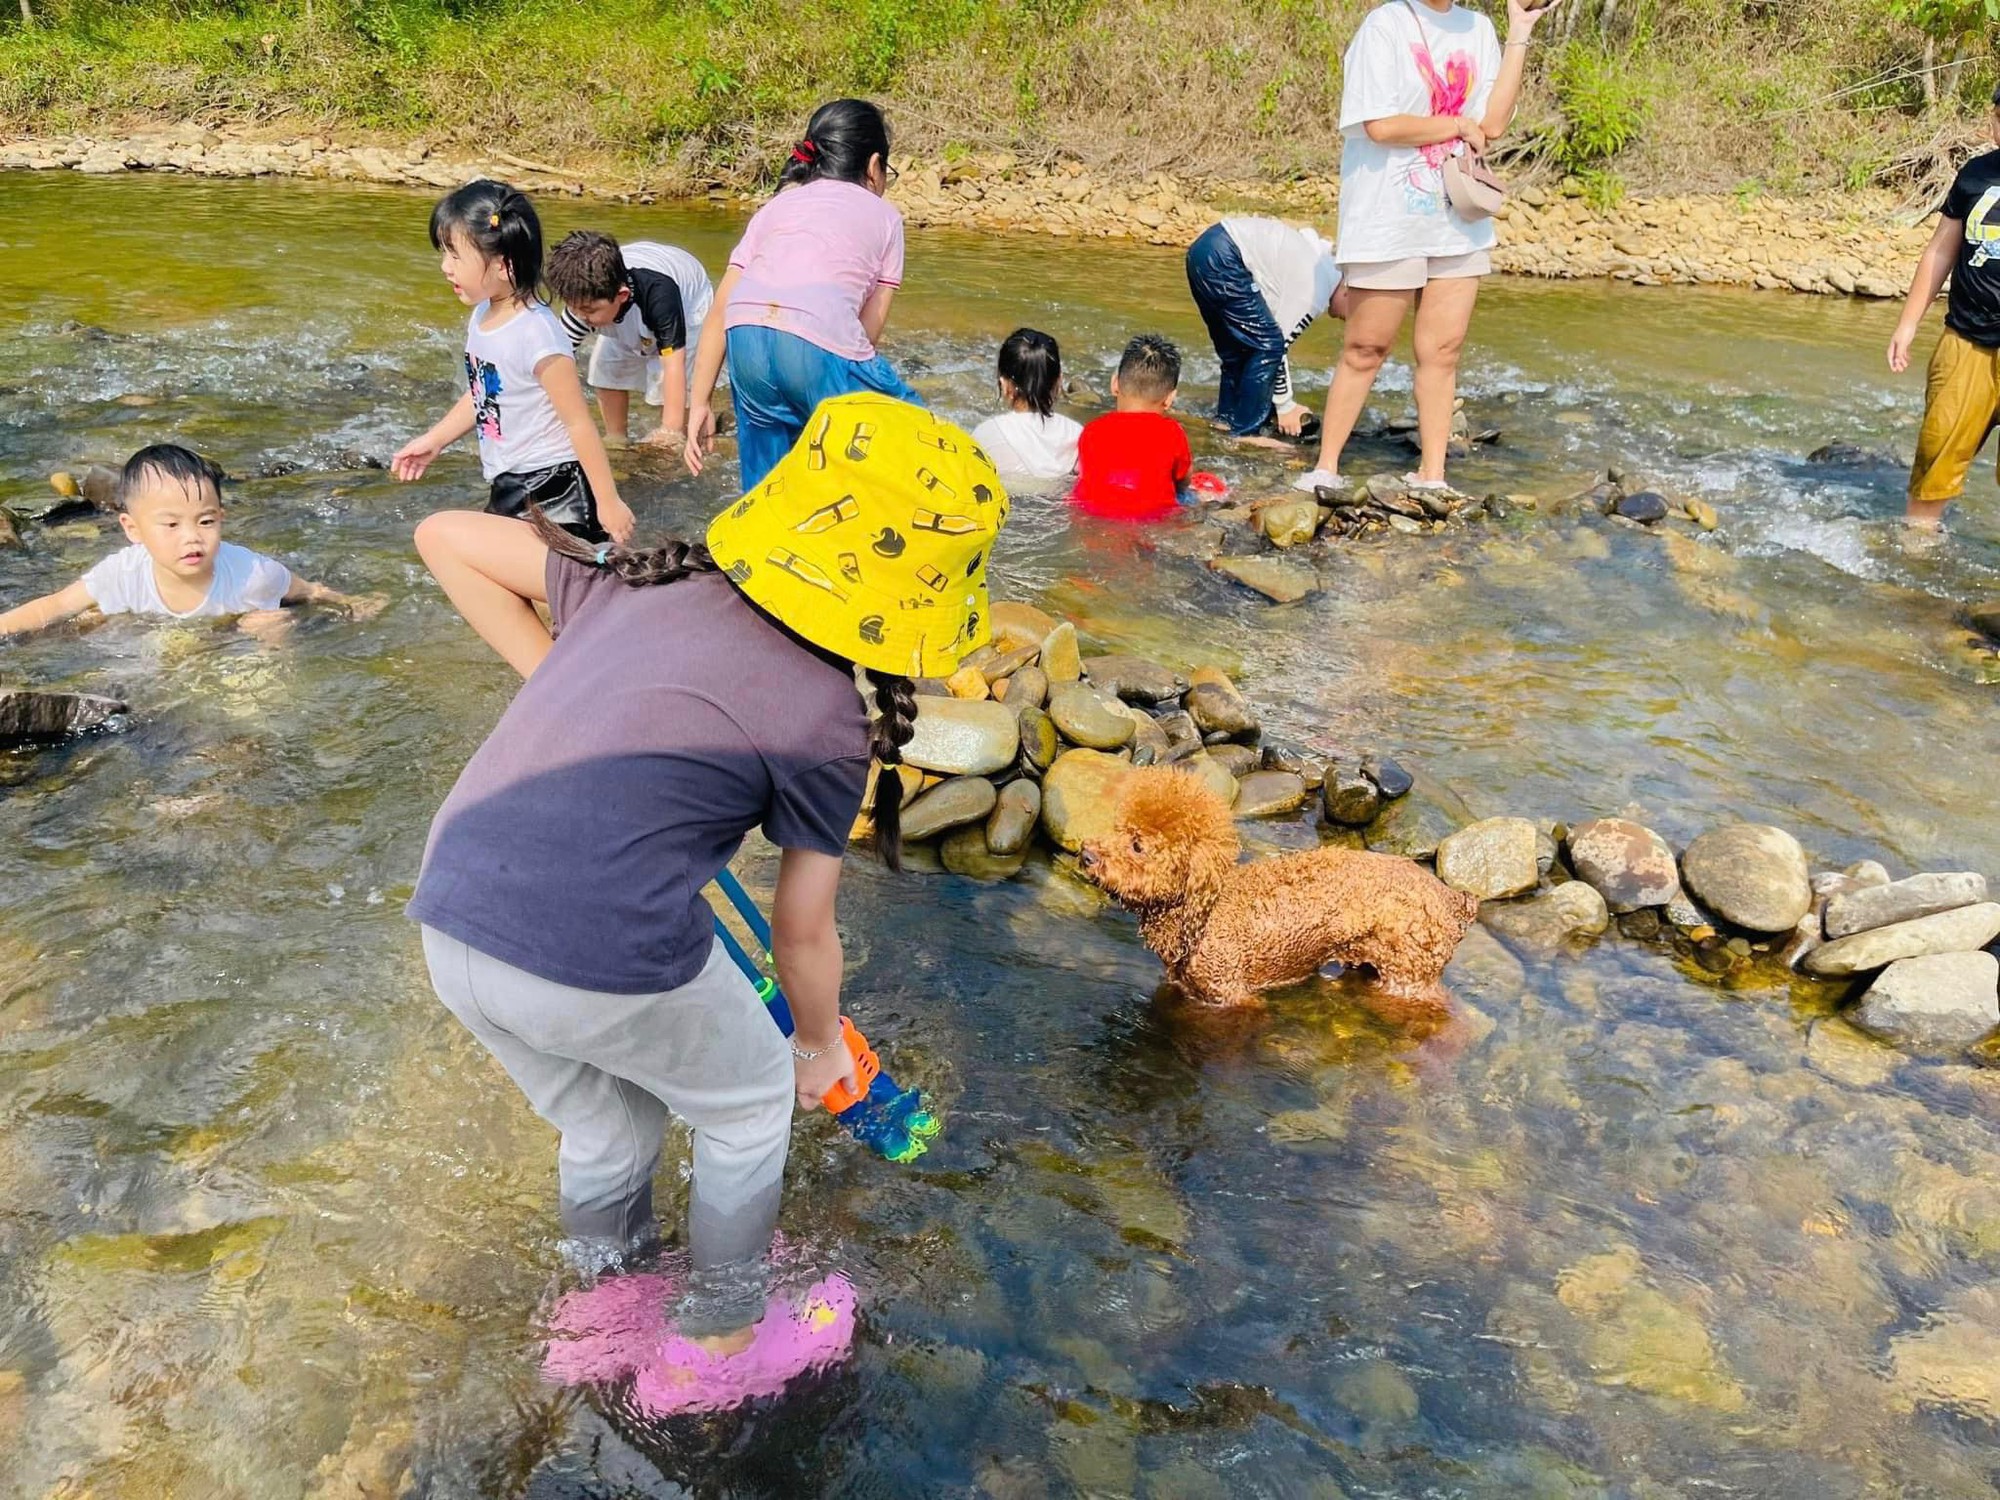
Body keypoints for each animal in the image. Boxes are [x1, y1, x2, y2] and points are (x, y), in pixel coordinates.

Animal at [1088, 768, 1480, 1004]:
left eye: (1137, 845)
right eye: (1118, 828)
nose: (1087, 855)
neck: (1205, 912)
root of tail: (1452, 898)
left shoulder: (1232, 997)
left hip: (1409, 977)